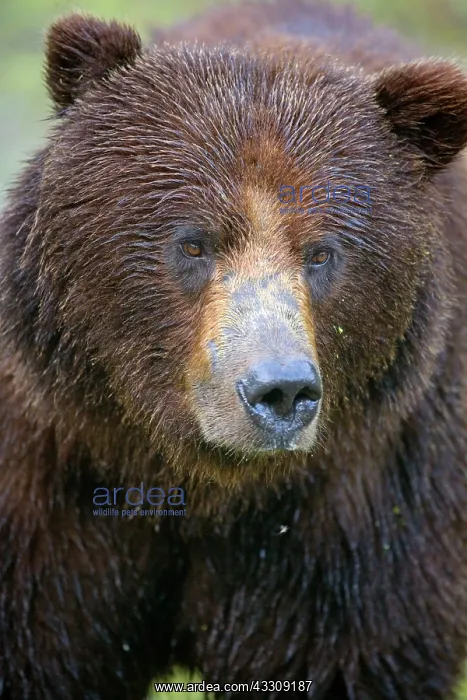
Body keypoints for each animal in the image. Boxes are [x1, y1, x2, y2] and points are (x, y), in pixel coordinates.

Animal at [1, 0, 467, 698]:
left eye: (322, 254)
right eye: (194, 243)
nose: (280, 390)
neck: (199, 484)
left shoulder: (360, 524)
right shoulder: (52, 492)